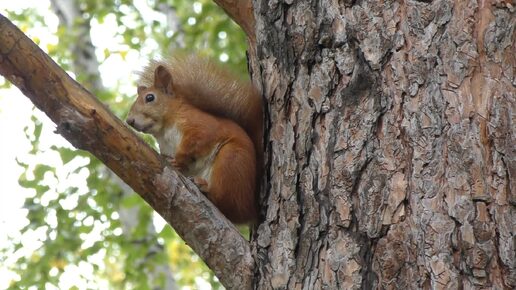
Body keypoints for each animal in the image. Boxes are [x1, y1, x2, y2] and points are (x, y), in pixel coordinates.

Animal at [125, 56, 262, 224]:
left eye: (149, 97)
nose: (129, 120)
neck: (164, 130)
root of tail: (251, 208)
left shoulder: (200, 126)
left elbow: (197, 141)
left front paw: (177, 160)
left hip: (231, 162)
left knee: (230, 204)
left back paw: (205, 188)